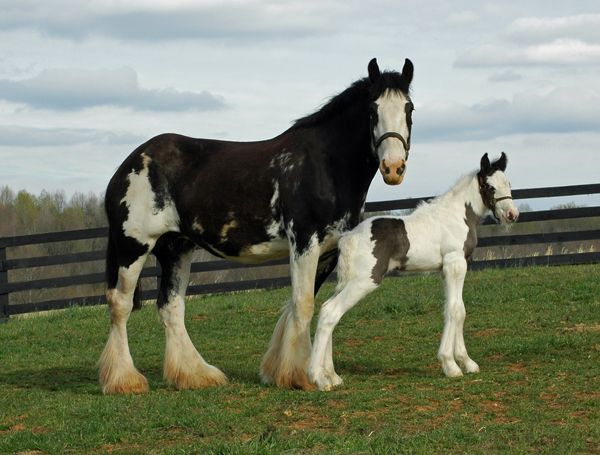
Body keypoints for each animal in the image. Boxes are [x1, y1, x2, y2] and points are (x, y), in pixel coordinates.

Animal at [101, 57, 414, 394]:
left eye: (409, 108)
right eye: (372, 109)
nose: (393, 168)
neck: (325, 165)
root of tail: (127, 165)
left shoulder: (330, 251)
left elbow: (322, 305)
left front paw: (323, 374)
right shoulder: (304, 242)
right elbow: (304, 304)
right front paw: (300, 375)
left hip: (176, 250)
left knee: (171, 307)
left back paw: (195, 375)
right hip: (133, 247)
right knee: (120, 304)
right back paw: (124, 380)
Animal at [308, 153, 516, 392]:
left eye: (508, 184)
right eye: (490, 187)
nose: (512, 215)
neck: (457, 216)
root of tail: (347, 237)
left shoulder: (446, 269)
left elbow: (458, 310)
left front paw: (467, 362)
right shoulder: (455, 264)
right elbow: (455, 310)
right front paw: (451, 365)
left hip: (347, 281)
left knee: (327, 310)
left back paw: (332, 376)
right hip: (365, 281)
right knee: (330, 313)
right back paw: (319, 378)